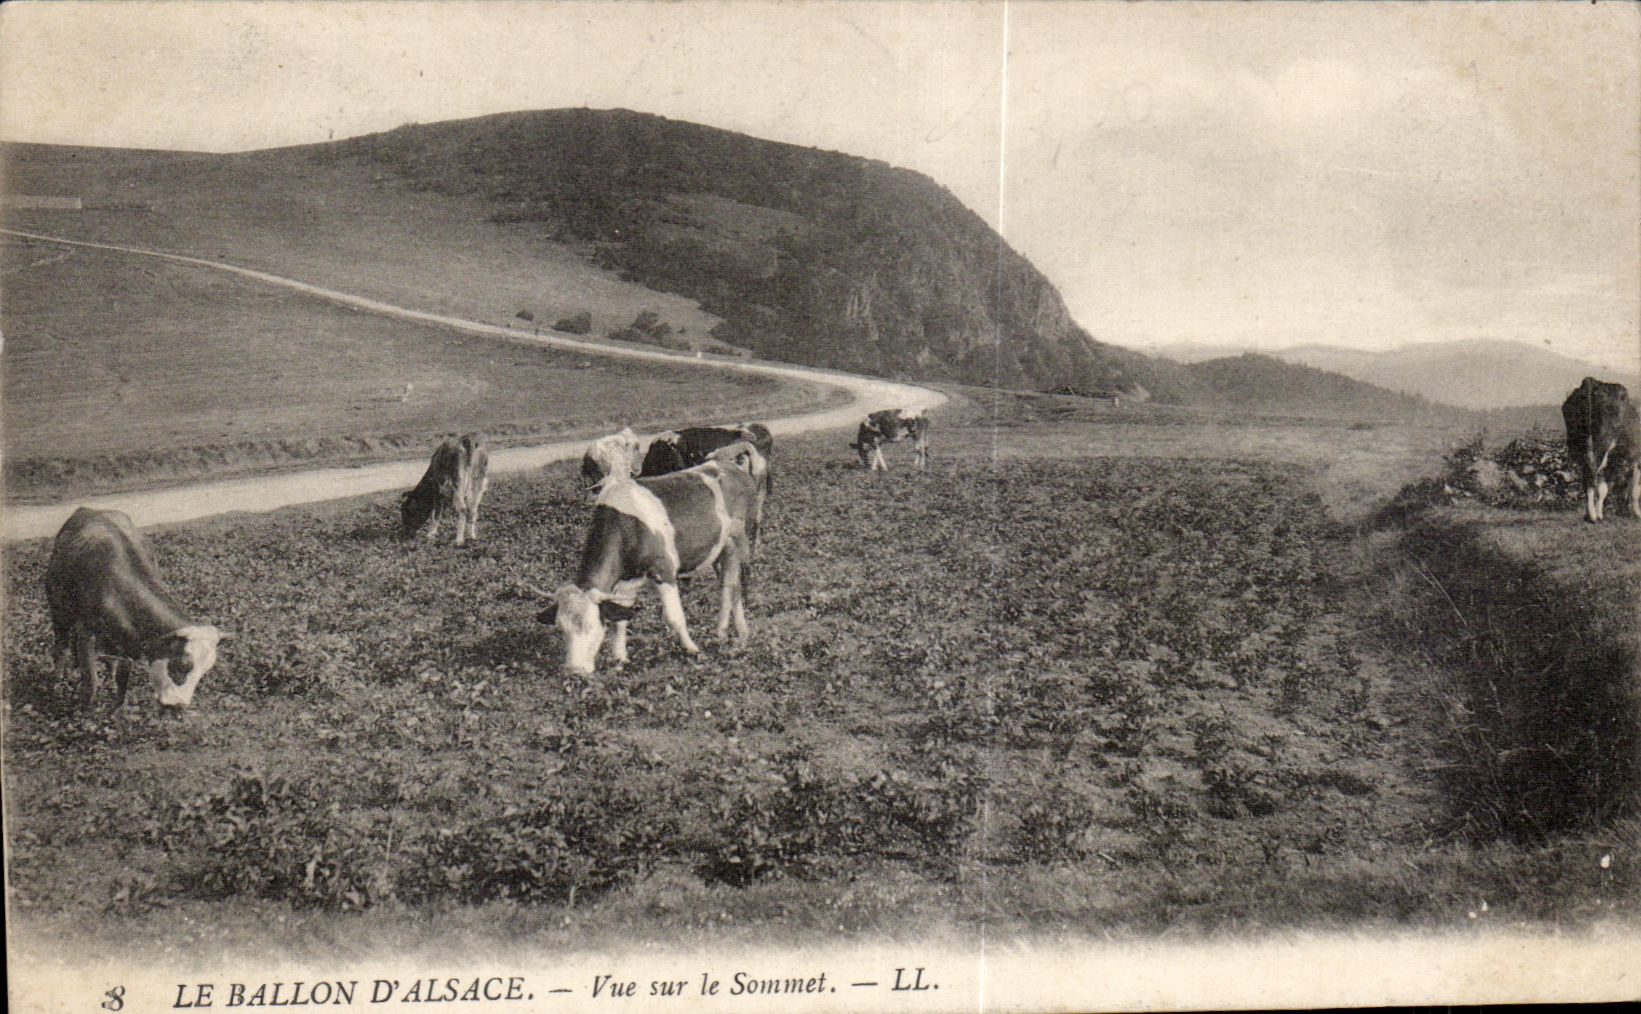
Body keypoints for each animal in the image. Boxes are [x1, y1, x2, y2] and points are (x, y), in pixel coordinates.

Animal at [43, 507, 222, 710]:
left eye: (205, 670)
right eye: (182, 665)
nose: (178, 704)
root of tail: (88, 509)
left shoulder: (128, 643)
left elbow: (123, 681)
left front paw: (115, 711)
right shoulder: (86, 633)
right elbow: (91, 682)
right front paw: (85, 712)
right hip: (59, 608)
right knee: (61, 647)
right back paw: (56, 682)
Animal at [536, 442, 767, 674]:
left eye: (591, 626)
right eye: (561, 628)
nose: (574, 669)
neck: (626, 527)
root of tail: (727, 463)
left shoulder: (664, 571)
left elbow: (674, 617)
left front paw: (692, 649)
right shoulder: (626, 583)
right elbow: (621, 619)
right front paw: (620, 658)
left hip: (739, 540)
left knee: (731, 585)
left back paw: (724, 631)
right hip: (718, 549)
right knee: (732, 585)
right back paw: (737, 631)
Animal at [1562, 377, 1641, 522]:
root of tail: (1591, 381)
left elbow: (1607, 487)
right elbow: (1635, 490)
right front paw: (1637, 513)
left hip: (1580, 446)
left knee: (1588, 476)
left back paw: (1590, 515)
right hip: (1601, 445)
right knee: (1591, 476)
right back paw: (1592, 516)